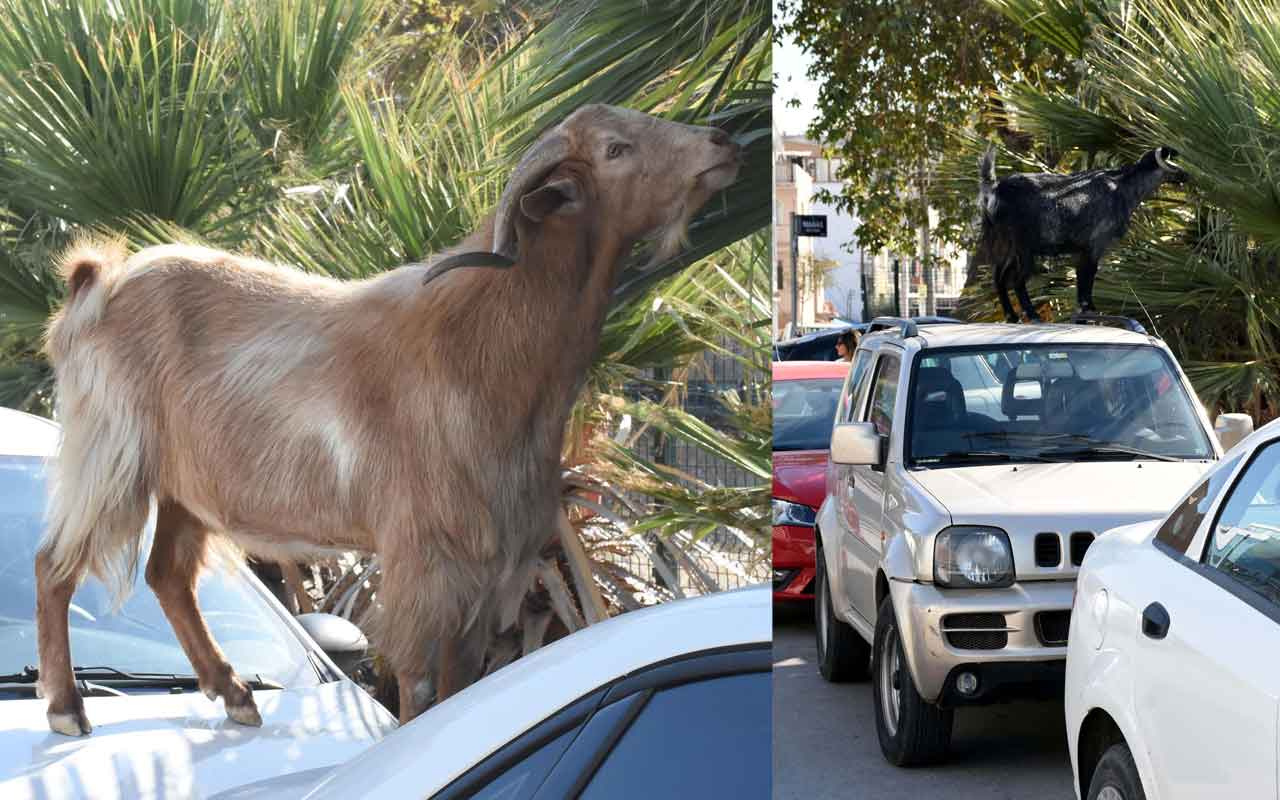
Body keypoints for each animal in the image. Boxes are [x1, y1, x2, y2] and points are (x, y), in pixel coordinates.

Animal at [37, 106, 742, 737]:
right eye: (617, 149)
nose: (723, 141)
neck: (482, 347)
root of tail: (94, 282)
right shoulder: (423, 560)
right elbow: (420, 684)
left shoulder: (488, 572)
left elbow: (463, 683)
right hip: (109, 458)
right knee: (55, 563)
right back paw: (67, 709)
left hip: (186, 488)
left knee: (168, 576)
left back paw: (233, 693)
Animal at [977, 145, 1177, 320]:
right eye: (1172, 162)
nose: (1183, 175)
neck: (1122, 186)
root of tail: (994, 191)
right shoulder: (1095, 245)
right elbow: (1088, 277)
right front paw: (1089, 309)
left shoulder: (1082, 250)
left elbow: (1082, 279)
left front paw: (1085, 309)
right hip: (1023, 250)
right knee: (1017, 281)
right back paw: (1033, 315)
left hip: (1008, 249)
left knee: (999, 278)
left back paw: (1012, 316)